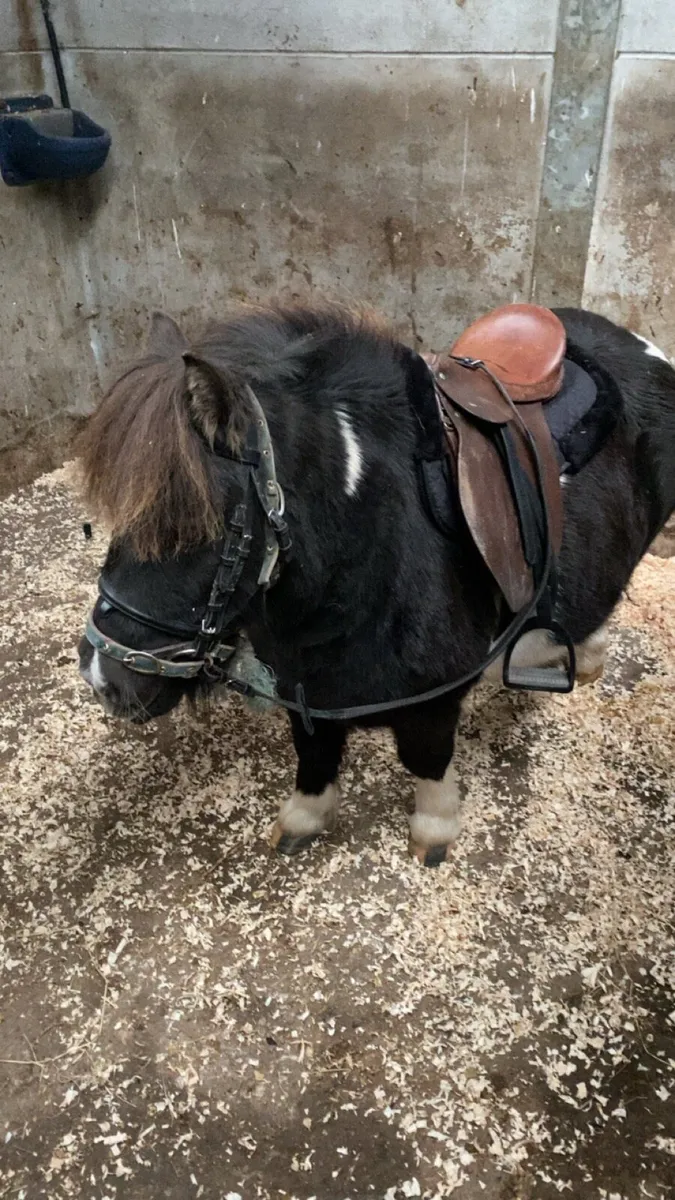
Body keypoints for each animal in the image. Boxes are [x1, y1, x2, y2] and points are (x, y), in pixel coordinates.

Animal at [77, 303, 675, 866]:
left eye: (202, 527)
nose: (103, 678)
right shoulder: (302, 680)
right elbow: (313, 750)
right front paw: (303, 820)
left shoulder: (434, 696)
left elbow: (426, 758)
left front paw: (434, 833)